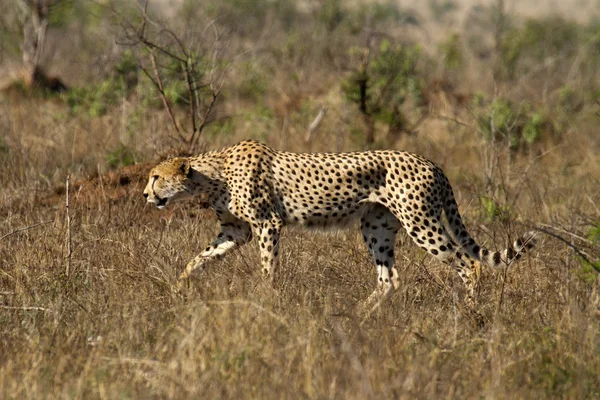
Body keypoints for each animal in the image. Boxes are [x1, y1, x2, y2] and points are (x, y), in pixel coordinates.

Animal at [143, 140, 536, 310]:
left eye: (156, 177)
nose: (146, 194)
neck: (212, 174)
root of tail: (431, 161)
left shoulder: (268, 223)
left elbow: (268, 267)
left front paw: (266, 298)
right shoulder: (236, 231)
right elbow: (199, 257)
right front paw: (179, 285)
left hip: (420, 222)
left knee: (468, 263)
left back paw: (471, 312)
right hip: (376, 227)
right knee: (389, 279)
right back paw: (356, 317)